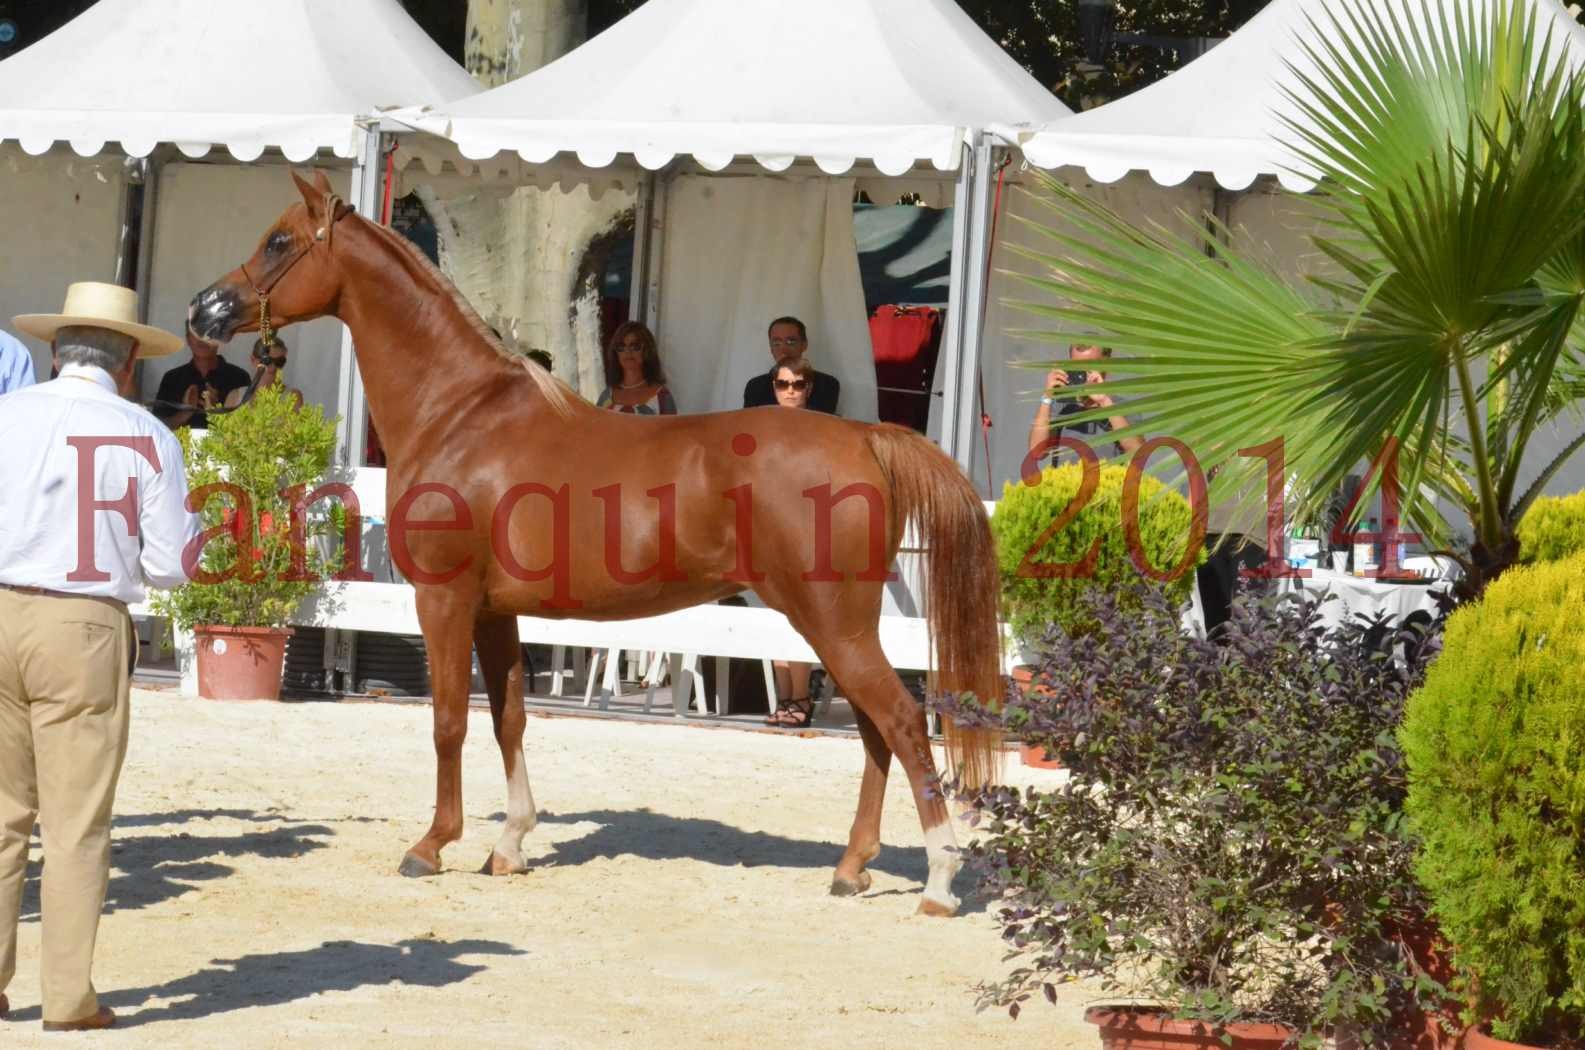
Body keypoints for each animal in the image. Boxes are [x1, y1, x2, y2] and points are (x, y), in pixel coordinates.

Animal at [191, 170, 995, 913]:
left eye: (280, 241)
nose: (206, 309)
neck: (460, 413)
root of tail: (864, 436)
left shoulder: (443, 601)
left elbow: (449, 721)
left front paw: (432, 844)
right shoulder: (495, 611)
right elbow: (509, 717)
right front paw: (509, 845)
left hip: (833, 623)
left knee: (900, 724)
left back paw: (938, 881)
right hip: (834, 626)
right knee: (874, 732)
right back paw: (851, 868)